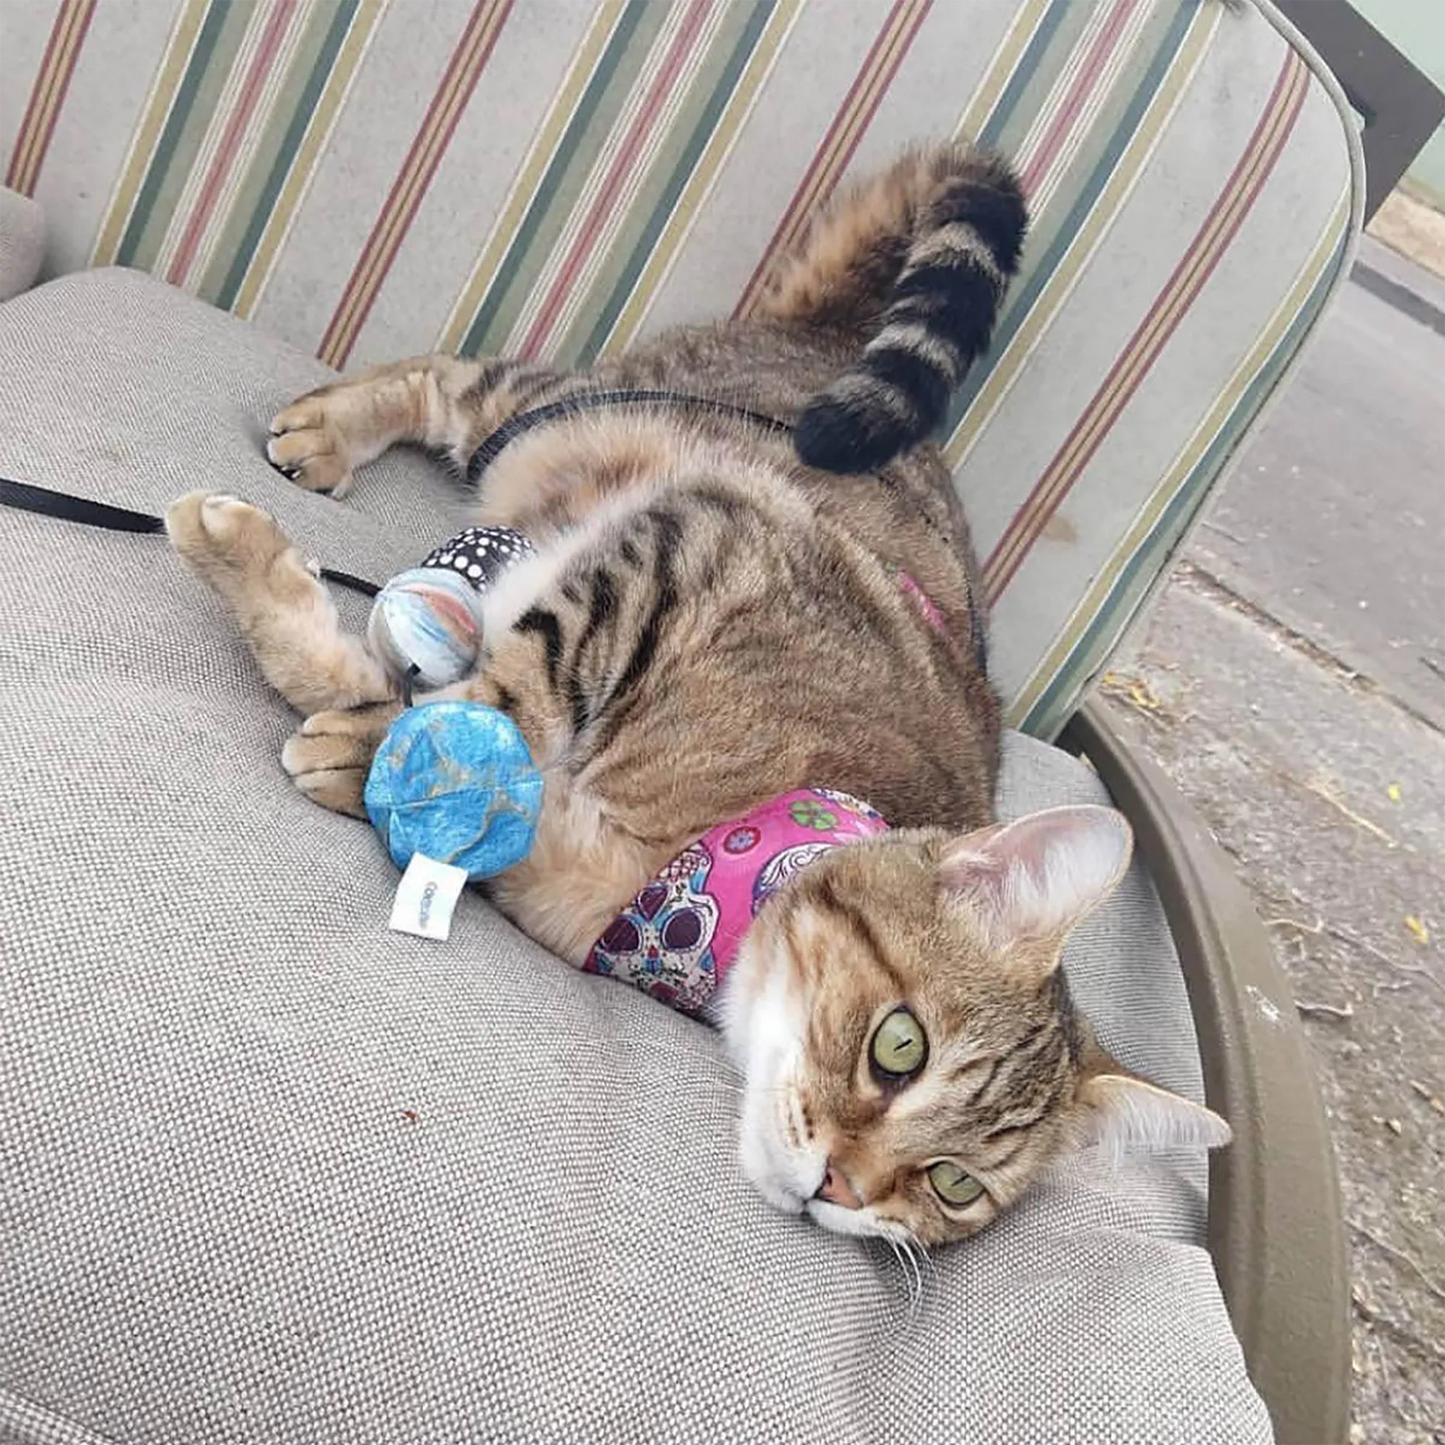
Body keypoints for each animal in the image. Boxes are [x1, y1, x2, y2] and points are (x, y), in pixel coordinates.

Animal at [169, 149, 1231, 1254]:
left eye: (950, 1183)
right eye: (899, 1046)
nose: (842, 1188)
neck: (706, 860)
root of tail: (822, 339)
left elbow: (403, 691)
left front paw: (377, 738)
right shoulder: (696, 547)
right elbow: (519, 683)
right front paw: (400, 741)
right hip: (559, 413)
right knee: (449, 375)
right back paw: (330, 428)